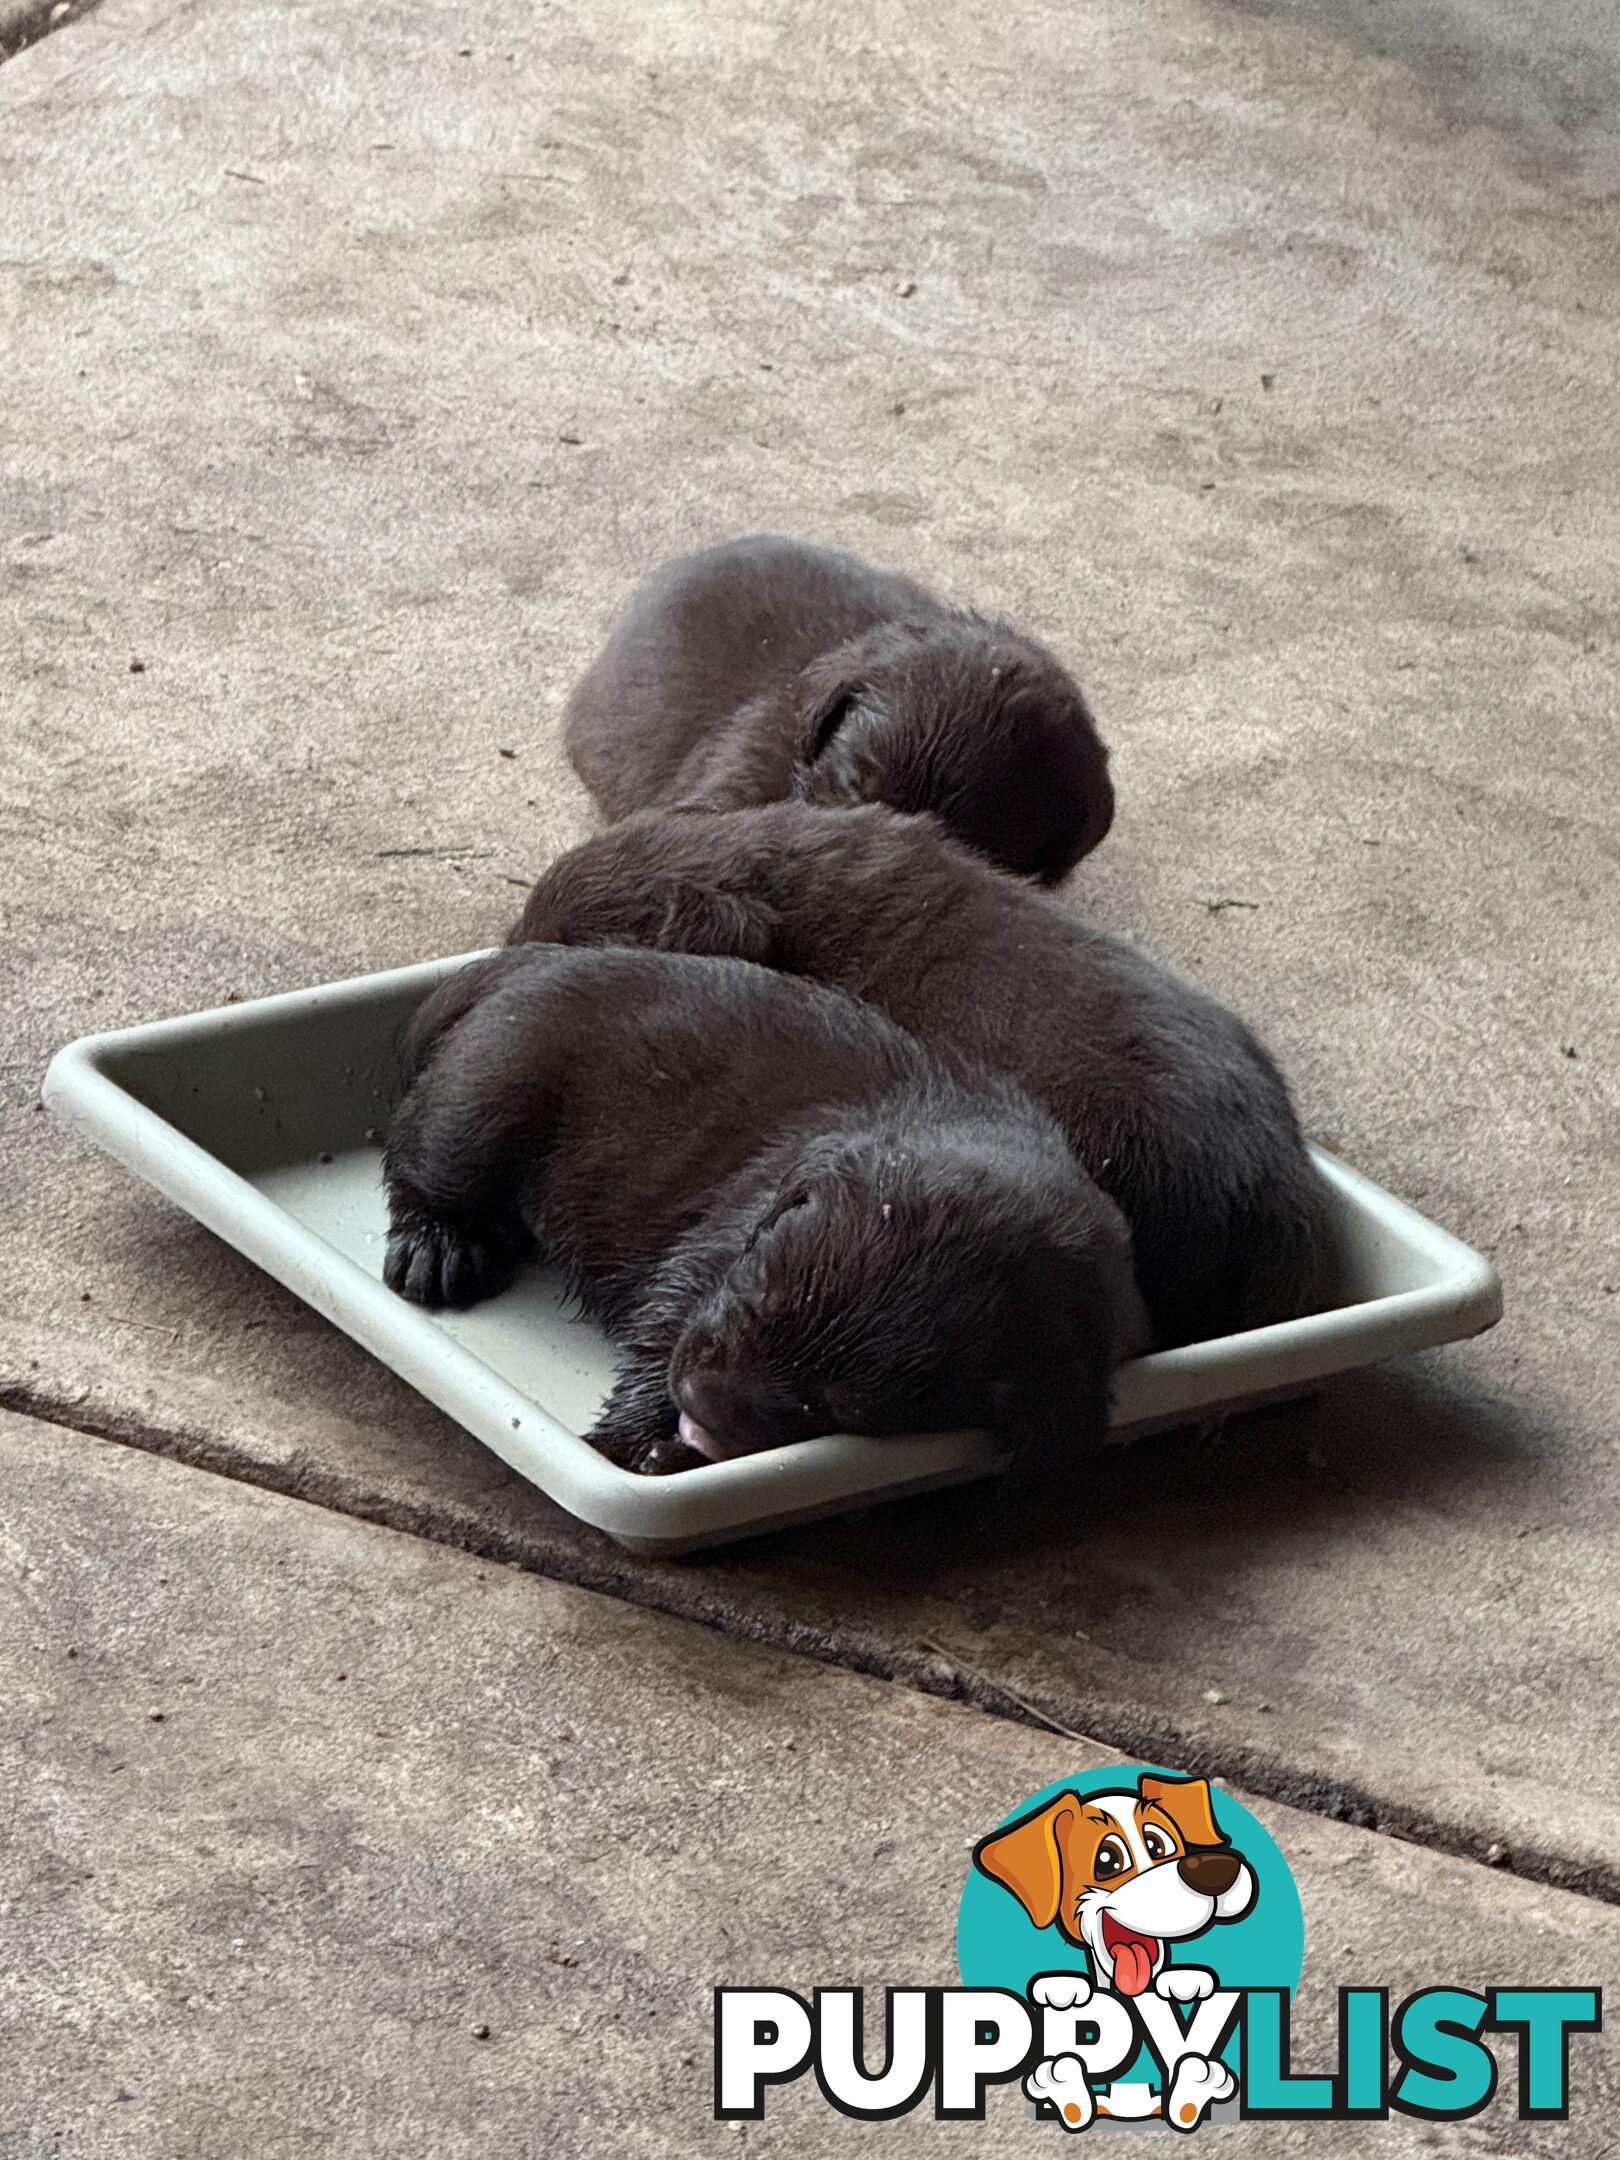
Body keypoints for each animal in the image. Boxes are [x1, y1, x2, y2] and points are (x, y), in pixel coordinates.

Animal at [382, 950, 1149, 1477]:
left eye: (834, 1407)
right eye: (754, 1296)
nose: (702, 1400)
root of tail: (531, 960)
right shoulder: (712, 1254)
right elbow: (661, 1332)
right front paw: (623, 1441)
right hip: (493, 1088)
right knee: (425, 1156)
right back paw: (436, 1250)